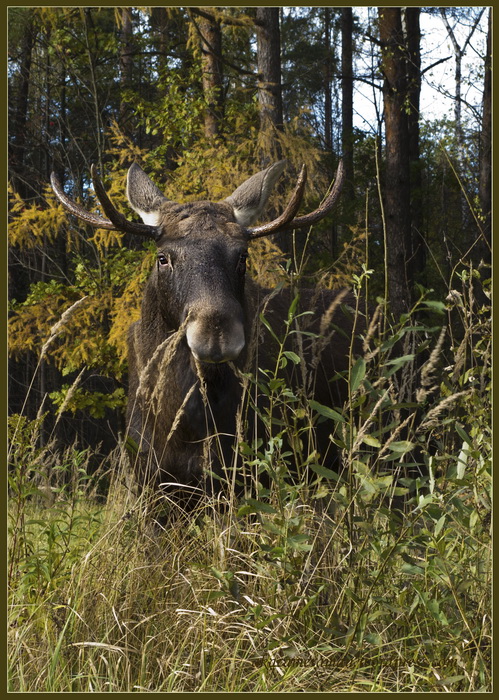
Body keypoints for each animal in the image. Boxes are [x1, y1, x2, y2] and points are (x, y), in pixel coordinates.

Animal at [50, 159, 362, 508]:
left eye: (242, 256)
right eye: (163, 258)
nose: (216, 335)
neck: (186, 423)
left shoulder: (243, 480)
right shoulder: (150, 481)